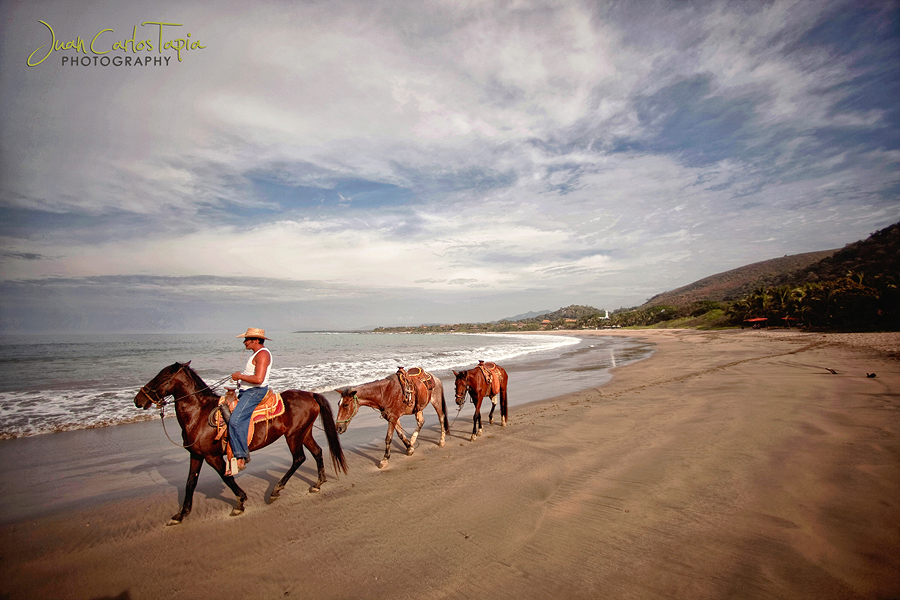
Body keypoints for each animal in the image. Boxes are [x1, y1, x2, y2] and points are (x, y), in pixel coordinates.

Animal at [134, 361, 347, 524]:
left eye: (160, 377)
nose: (138, 399)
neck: (199, 415)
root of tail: (310, 394)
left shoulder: (212, 456)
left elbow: (226, 477)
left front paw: (240, 502)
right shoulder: (196, 454)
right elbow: (190, 483)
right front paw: (180, 514)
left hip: (293, 436)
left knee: (299, 458)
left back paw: (276, 490)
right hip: (304, 433)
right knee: (317, 452)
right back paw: (318, 483)